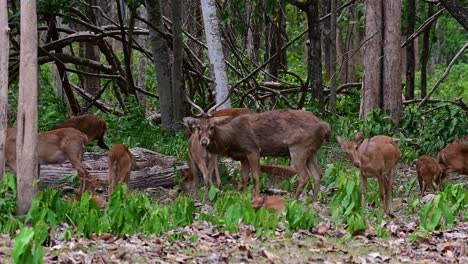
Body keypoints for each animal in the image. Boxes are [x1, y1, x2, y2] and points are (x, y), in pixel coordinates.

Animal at [183, 96, 330, 201]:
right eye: (198, 127)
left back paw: (293, 200)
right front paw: (243, 196)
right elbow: (244, 178)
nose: (204, 141)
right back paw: (313, 202)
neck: (232, 139)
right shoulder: (243, 156)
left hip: (298, 148)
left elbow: (255, 176)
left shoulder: (253, 149)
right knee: (318, 174)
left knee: (305, 176)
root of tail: (325, 126)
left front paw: (256, 197)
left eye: (212, 126)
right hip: (311, 151)